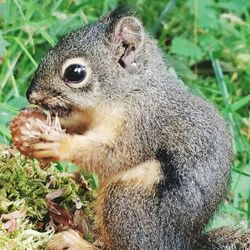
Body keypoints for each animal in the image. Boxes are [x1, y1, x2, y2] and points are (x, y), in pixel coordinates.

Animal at [10, 7, 250, 250]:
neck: (131, 90)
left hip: (126, 198)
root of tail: (180, 243)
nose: (30, 94)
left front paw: (58, 144)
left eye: (75, 73)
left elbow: (113, 155)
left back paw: (75, 241)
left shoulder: (141, 124)